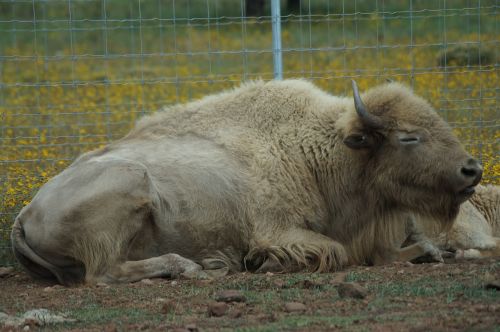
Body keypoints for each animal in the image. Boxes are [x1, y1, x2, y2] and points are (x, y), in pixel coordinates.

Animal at [10, 79, 484, 284]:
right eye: (409, 136)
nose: (472, 170)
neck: (316, 150)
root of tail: (25, 213)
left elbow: (400, 251)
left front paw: (433, 252)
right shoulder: (279, 230)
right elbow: (335, 252)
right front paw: (263, 263)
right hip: (132, 183)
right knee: (103, 273)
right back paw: (192, 267)